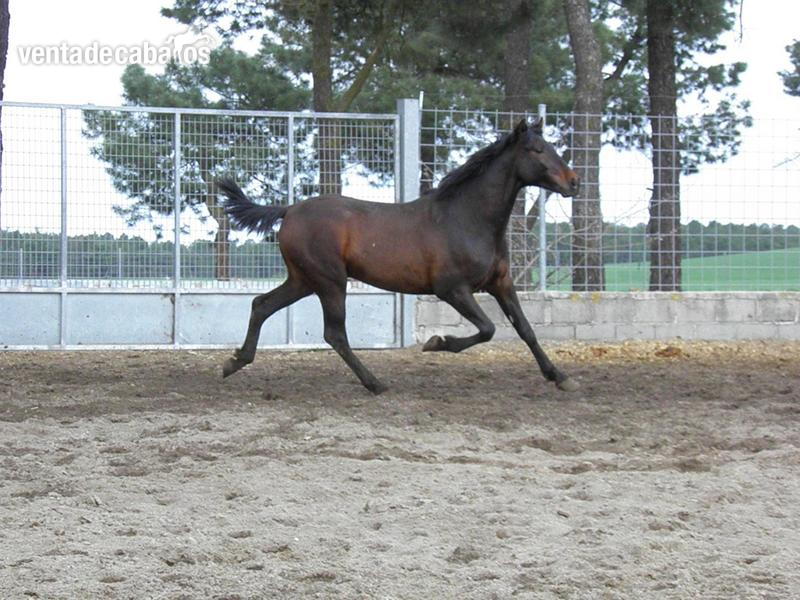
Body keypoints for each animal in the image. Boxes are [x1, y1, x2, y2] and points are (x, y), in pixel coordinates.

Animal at [217, 118, 580, 394]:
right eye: (536, 150)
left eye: (552, 147)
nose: (574, 182)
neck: (467, 218)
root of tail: (289, 209)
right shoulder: (451, 289)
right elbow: (488, 328)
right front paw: (436, 342)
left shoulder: (500, 283)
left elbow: (526, 329)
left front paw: (559, 376)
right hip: (330, 281)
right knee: (334, 333)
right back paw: (375, 383)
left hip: (304, 280)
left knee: (262, 305)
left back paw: (234, 362)